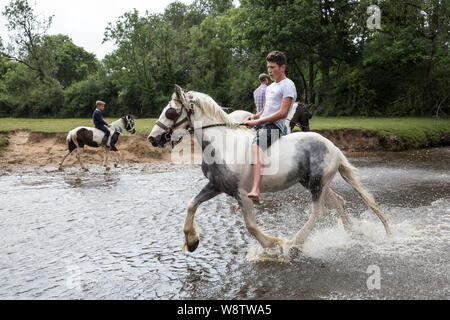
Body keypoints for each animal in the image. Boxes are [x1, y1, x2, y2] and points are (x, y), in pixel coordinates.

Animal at [148, 86, 390, 254]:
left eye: (170, 112)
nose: (152, 138)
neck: (221, 144)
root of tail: (335, 148)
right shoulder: (216, 186)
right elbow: (191, 205)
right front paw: (191, 241)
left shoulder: (242, 193)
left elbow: (251, 226)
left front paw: (273, 244)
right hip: (313, 182)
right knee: (336, 202)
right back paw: (353, 231)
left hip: (316, 184)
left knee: (318, 211)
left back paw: (294, 243)